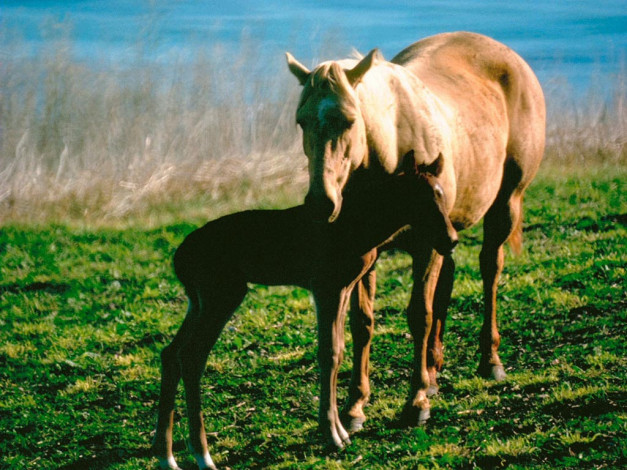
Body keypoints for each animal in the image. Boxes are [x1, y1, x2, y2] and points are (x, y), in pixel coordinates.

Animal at [152, 157, 456, 470]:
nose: (451, 239)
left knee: (171, 353)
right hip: (221, 296)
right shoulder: (325, 287)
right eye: (420, 199)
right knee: (191, 357)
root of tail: (179, 258)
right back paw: (203, 455)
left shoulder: (344, 288)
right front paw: (332, 435)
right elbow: (328, 353)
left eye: (442, 195)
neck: (359, 225)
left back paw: (167, 456)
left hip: (198, 301)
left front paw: (341, 430)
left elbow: (339, 350)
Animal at [288, 31, 548, 430]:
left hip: (505, 204)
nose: (321, 203)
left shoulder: (426, 245)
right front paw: (355, 406)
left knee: (490, 269)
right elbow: (363, 322)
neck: (391, 153)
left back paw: (489, 361)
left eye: (349, 120)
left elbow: (419, 316)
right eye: (302, 122)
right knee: (448, 278)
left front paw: (416, 402)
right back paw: (435, 372)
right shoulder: (365, 252)